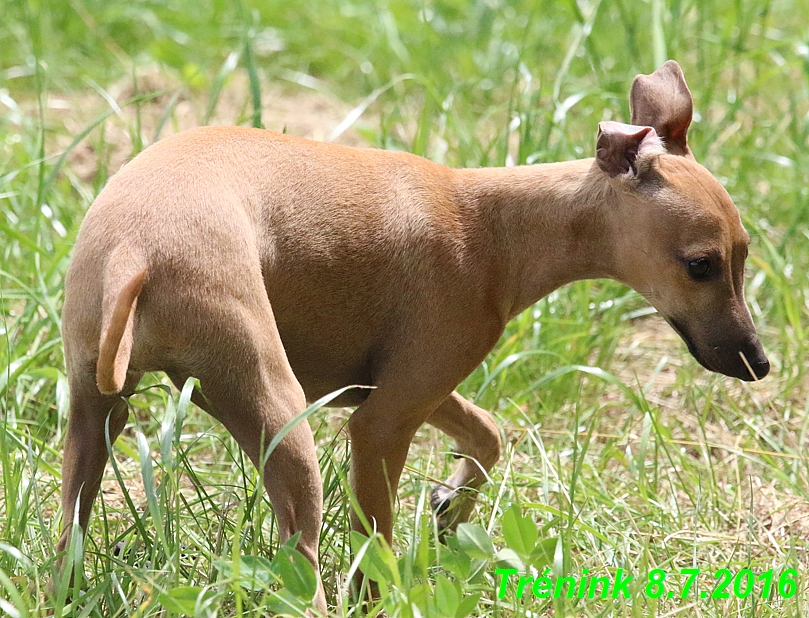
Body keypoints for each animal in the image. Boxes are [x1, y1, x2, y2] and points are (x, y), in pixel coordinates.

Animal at [60, 60, 768, 608]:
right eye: (700, 265)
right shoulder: (381, 422)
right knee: (305, 568)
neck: (496, 228)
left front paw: (451, 506)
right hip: (280, 418)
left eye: (744, 254)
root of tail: (137, 251)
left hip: (96, 414)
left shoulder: (406, 388)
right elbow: (374, 550)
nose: (757, 363)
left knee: (72, 525)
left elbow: (489, 434)